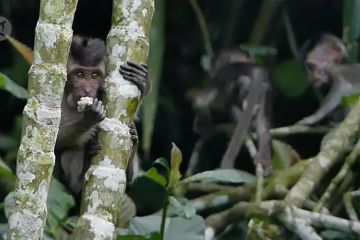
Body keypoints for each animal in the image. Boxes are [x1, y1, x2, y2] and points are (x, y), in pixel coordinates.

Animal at [53, 35, 149, 193]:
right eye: (80, 74)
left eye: (94, 75)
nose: (87, 90)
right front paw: (88, 120)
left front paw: (143, 82)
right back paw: (79, 179)